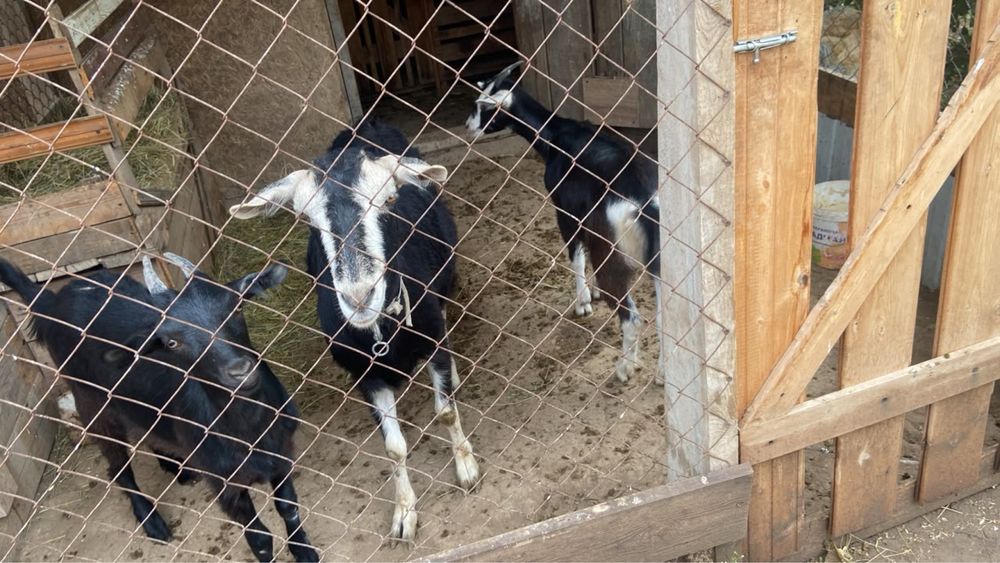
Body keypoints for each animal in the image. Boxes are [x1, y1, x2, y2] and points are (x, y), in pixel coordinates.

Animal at [0, 255, 318, 562]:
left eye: (236, 307)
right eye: (172, 342)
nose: (239, 371)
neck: (251, 428)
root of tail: (52, 302)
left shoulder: (282, 453)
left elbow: (288, 508)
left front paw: (304, 551)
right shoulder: (224, 484)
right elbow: (260, 538)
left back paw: (176, 467)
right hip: (92, 404)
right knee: (118, 467)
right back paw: (151, 520)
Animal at [228, 119, 480, 542]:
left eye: (391, 199)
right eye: (307, 219)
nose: (359, 296)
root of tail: (365, 123)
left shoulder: (430, 335)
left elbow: (445, 412)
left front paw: (467, 468)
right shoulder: (365, 374)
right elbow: (394, 447)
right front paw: (404, 513)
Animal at [465, 62, 663, 383]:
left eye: (483, 106)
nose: (468, 126)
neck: (555, 136)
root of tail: (645, 201)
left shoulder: (564, 211)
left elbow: (576, 255)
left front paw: (582, 303)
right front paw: (592, 293)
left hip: (612, 253)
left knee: (632, 317)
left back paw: (624, 369)